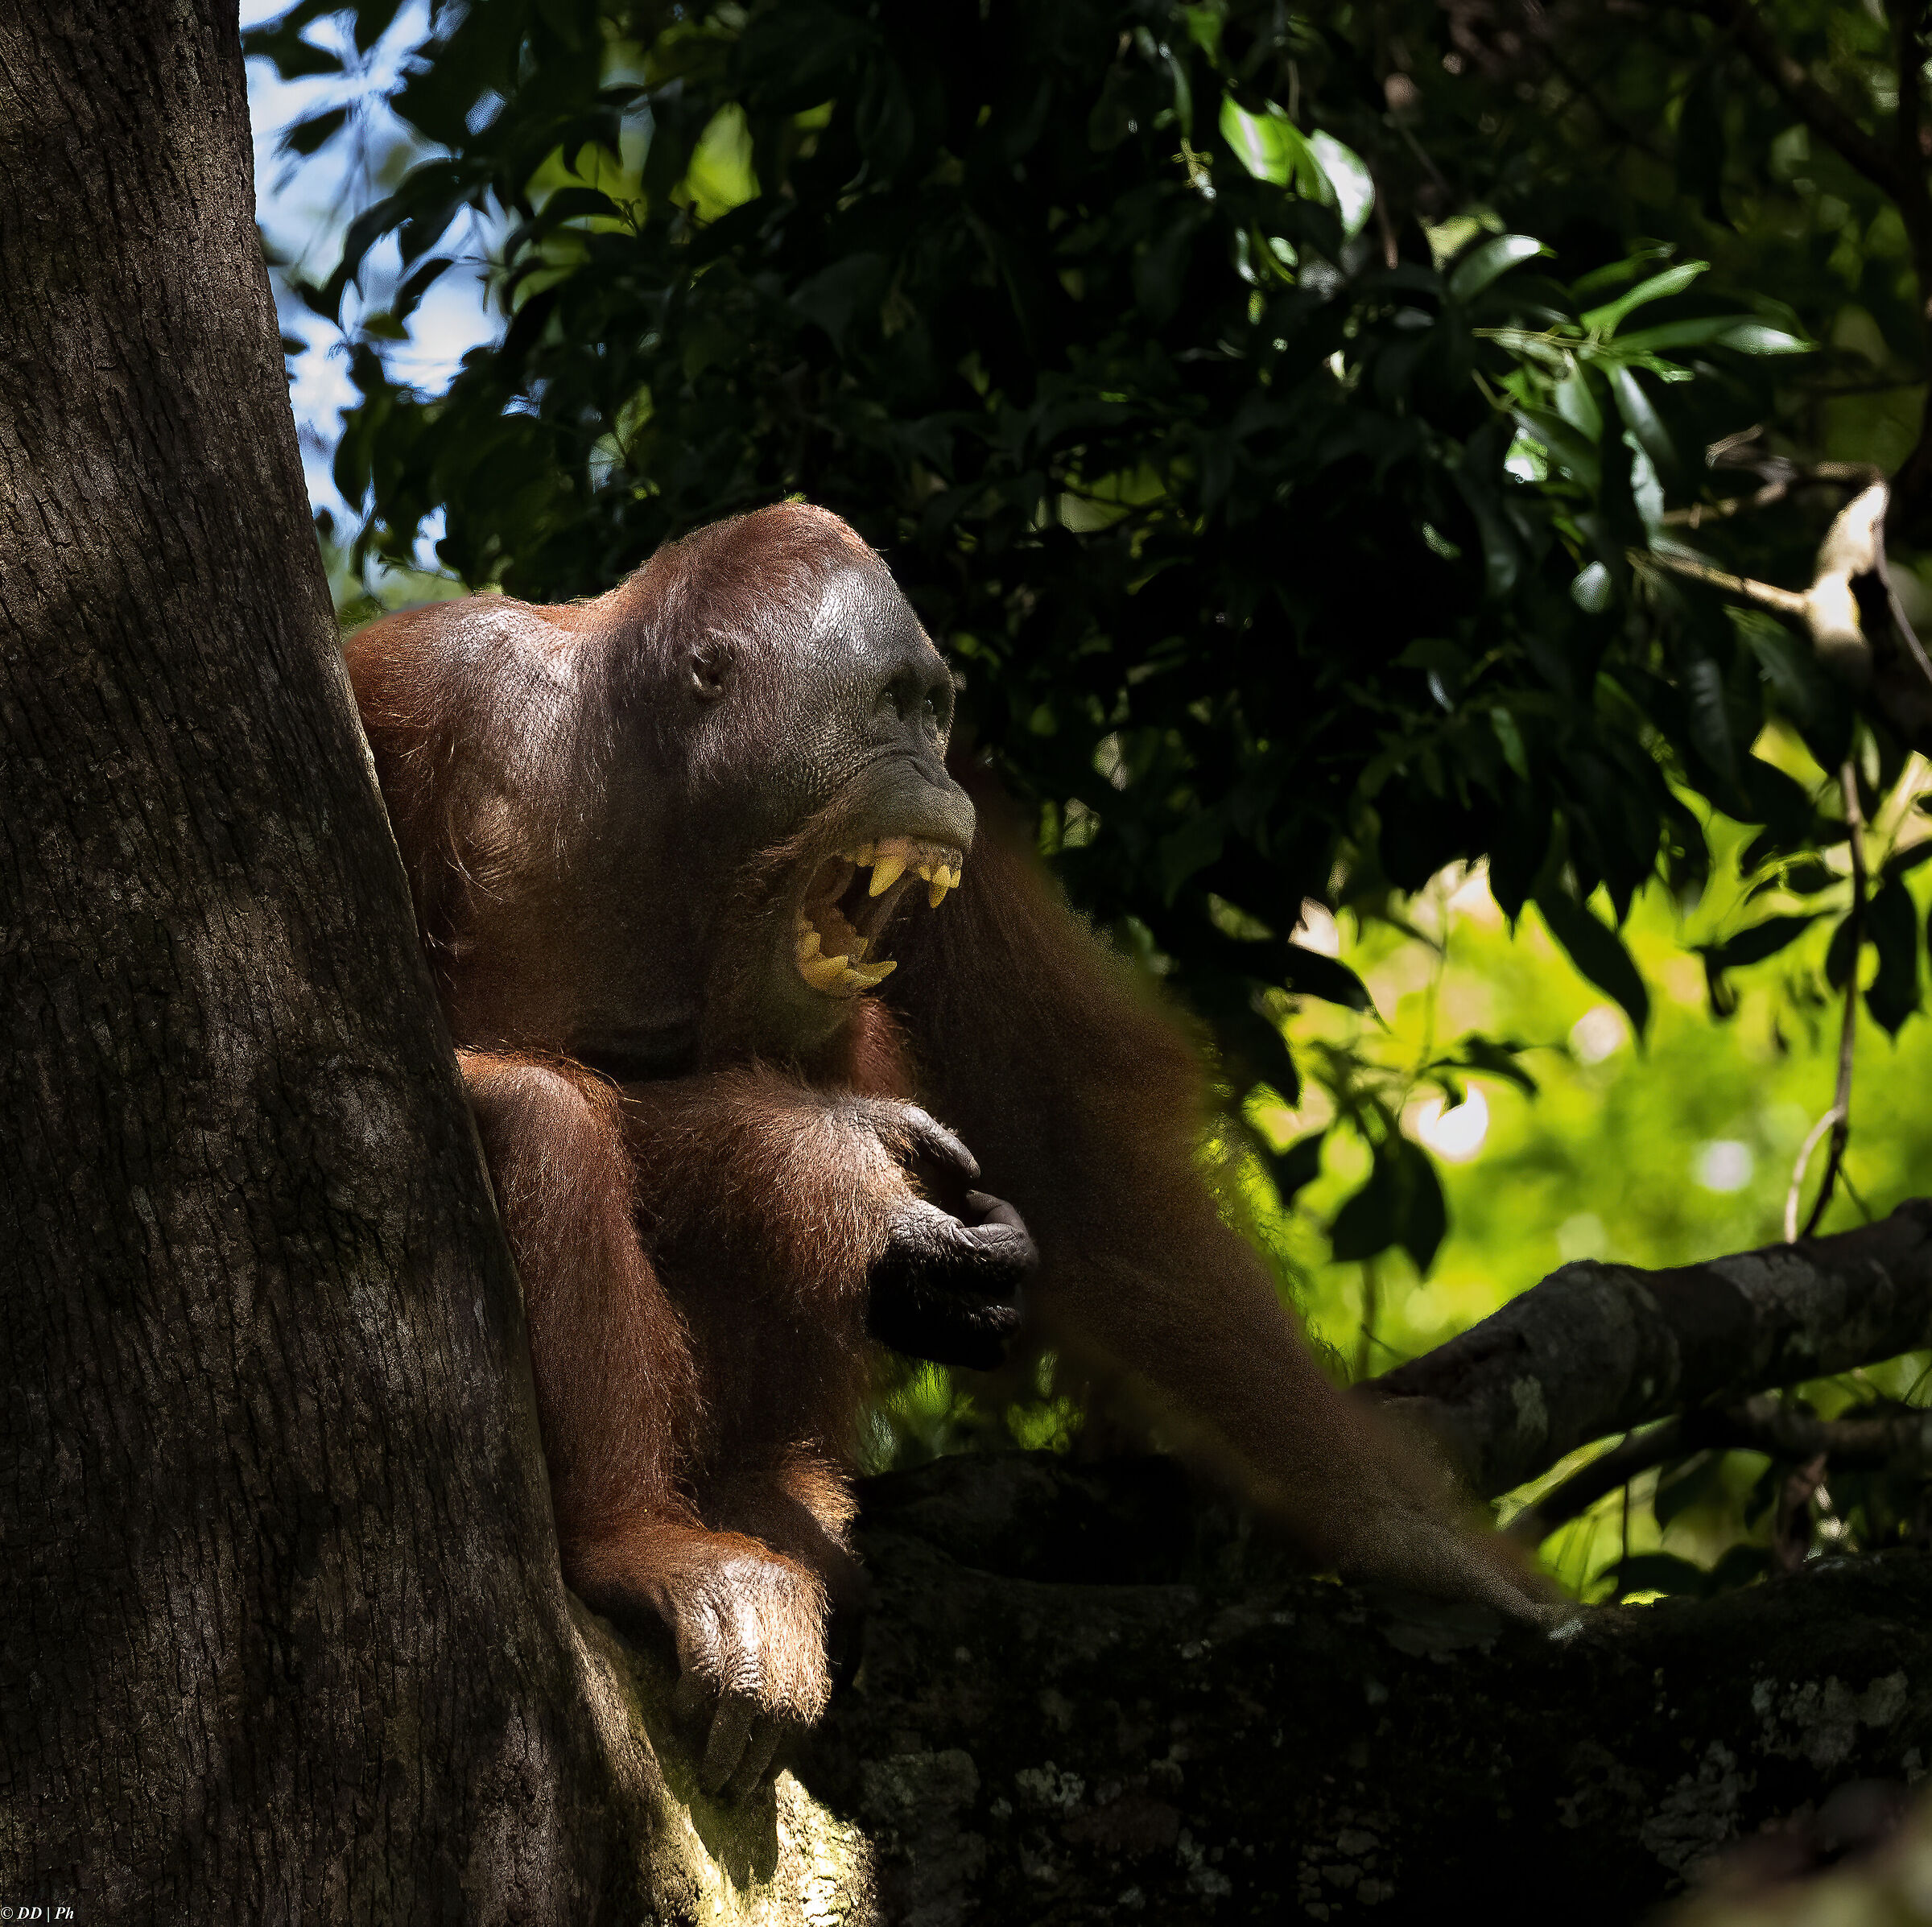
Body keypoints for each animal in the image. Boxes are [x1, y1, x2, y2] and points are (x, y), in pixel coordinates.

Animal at [346, 502, 1545, 1798]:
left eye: (936, 711)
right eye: (888, 704)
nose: (928, 769)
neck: (669, 819)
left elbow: (1083, 1166)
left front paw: (1420, 1543)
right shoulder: (427, 688)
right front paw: (835, 1166)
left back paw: (767, 1490)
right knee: (539, 1115)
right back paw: (649, 1543)